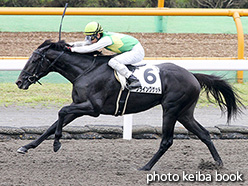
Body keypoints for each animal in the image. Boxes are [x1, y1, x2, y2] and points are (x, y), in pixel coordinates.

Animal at [15, 40, 242, 171]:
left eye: (34, 59)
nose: (19, 82)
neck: (85, 71)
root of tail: (192, 75)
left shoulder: (93, 108)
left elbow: (61, 112)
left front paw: (56, 143)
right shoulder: (79, 105)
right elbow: (54, 123)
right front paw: (26, 147)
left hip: (171, 109)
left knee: (167, 141)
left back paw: (146, 167)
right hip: (185, 113)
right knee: (204, 133)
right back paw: (217, 163)